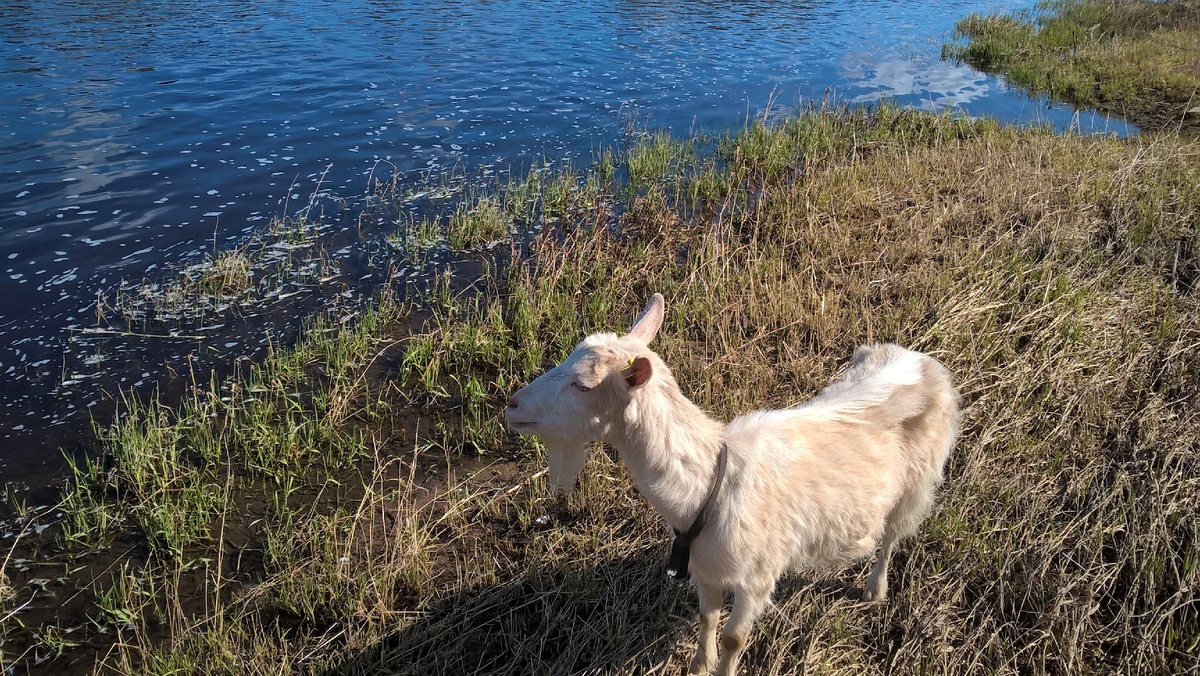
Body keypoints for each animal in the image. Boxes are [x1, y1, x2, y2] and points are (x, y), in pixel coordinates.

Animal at [501, 294, 960, 672]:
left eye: (582, 384)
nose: (511, 404)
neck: (709, 487)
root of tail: (920, 360)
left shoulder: (756, 578)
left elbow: (734, 638)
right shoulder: (704, 569)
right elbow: (707, 620)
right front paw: (698, 667)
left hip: (917, 485)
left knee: (892, 535)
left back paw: (874, 590)